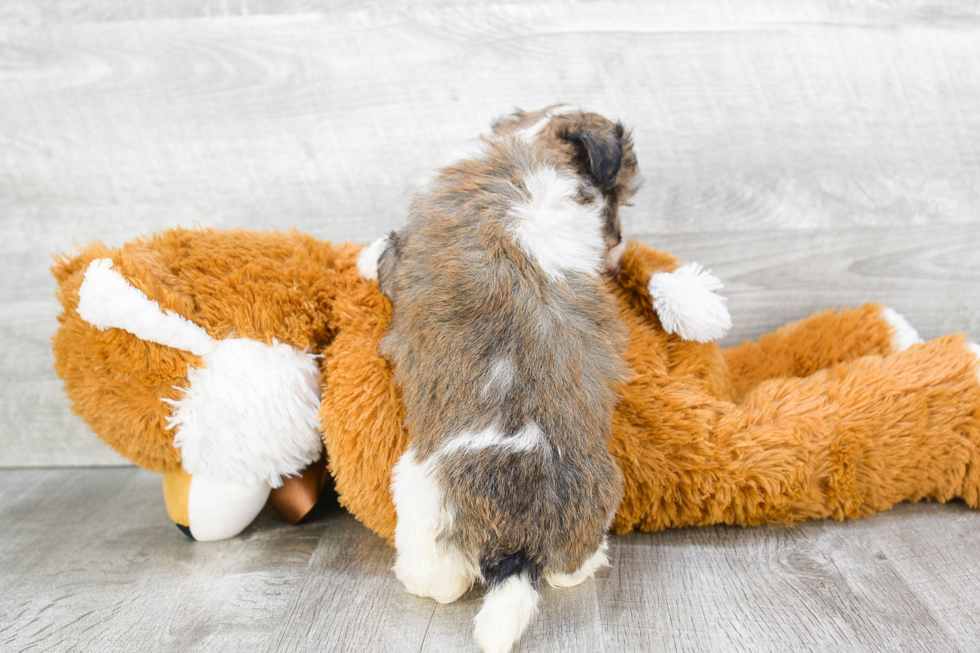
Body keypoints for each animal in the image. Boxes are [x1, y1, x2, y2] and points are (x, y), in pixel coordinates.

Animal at [372, 107, 640, 652]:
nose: (621, 249)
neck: (529, 146)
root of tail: (520, 549)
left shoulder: (402, 251)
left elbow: (384, 255)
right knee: (569, 569)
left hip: (418, 496)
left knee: (444, 580)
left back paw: (418, 582)